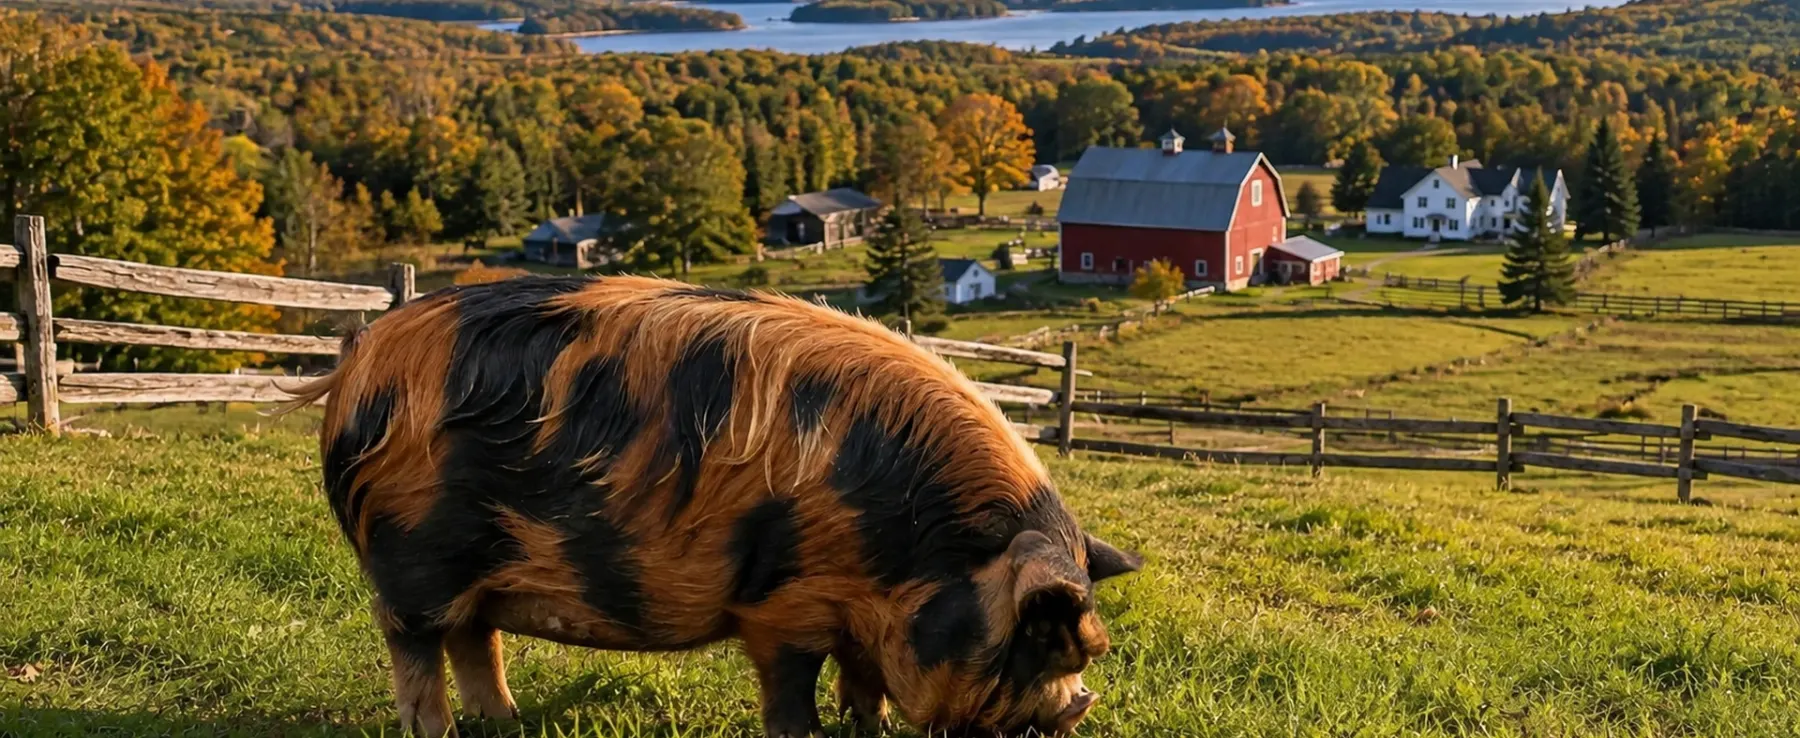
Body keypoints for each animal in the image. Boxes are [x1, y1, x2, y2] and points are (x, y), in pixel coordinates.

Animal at [289, 275, 1141, 737]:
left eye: (1087, 649)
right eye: (1041, 641)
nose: (1073, 712)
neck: (912, 548)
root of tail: (358, 366)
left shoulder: (860, 616)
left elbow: (864, 679)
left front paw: (868, 725)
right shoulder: (782, 605)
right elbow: (792, 688)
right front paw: (810, 733)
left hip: (476, 573)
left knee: (475, 639)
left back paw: (506, 721)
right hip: (413, 556)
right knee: (414, 644)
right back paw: (438, 731)